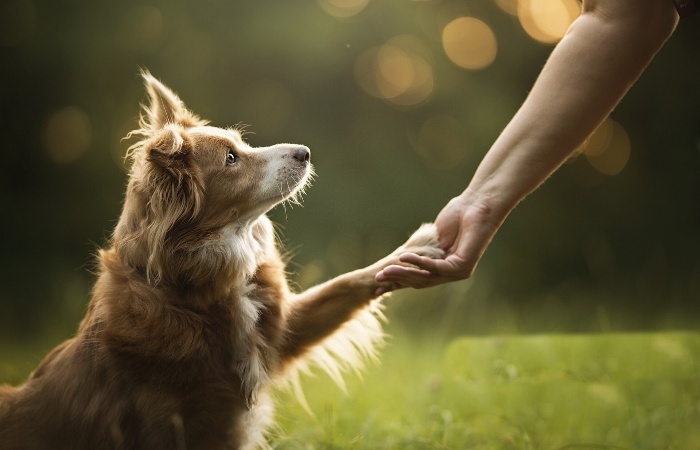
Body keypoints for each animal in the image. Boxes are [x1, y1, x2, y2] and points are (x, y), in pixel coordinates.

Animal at [0, 72, 442, 448]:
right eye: (231, 159)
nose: (305, 152)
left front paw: (420, 247)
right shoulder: (192, 425)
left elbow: (346, 283)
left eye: (240, 146)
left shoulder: (281, 330)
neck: (196, 290)